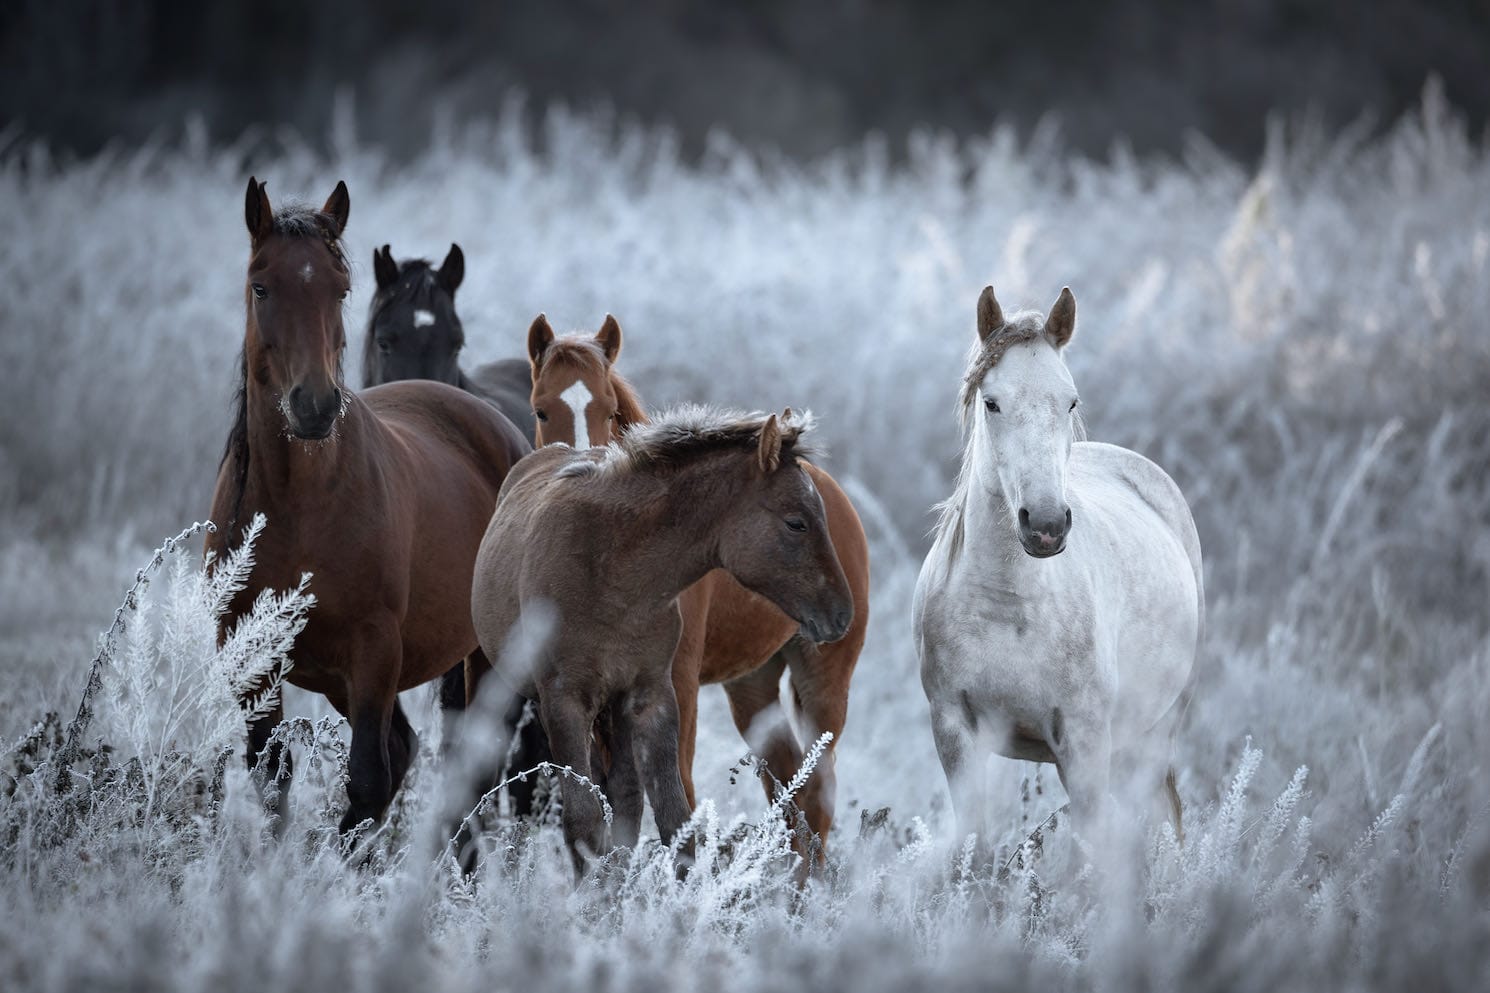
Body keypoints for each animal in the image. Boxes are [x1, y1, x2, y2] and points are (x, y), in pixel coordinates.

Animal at [207, 175, 533, 828]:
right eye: (261, 285)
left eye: (340, 289)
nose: (313, 405)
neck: (296, 504)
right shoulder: (254, 662)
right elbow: (272, 782)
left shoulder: (374, 655)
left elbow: (365, 784)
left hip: (483, 658)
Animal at [515, 314, 870, 852]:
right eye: (540, 408)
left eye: (610, 408)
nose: (577, 464)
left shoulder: (673, 681)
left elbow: (676, 787)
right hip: (752, 683)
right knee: (788, 783)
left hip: (824, 679)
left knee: (818, 793)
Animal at [911, 281, 1203, 846]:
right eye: (992, 402)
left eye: (1070, 401)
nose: (1045, 524)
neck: (1008, 606)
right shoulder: (955, 732)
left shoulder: (1084, 743)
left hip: (1153, 735)